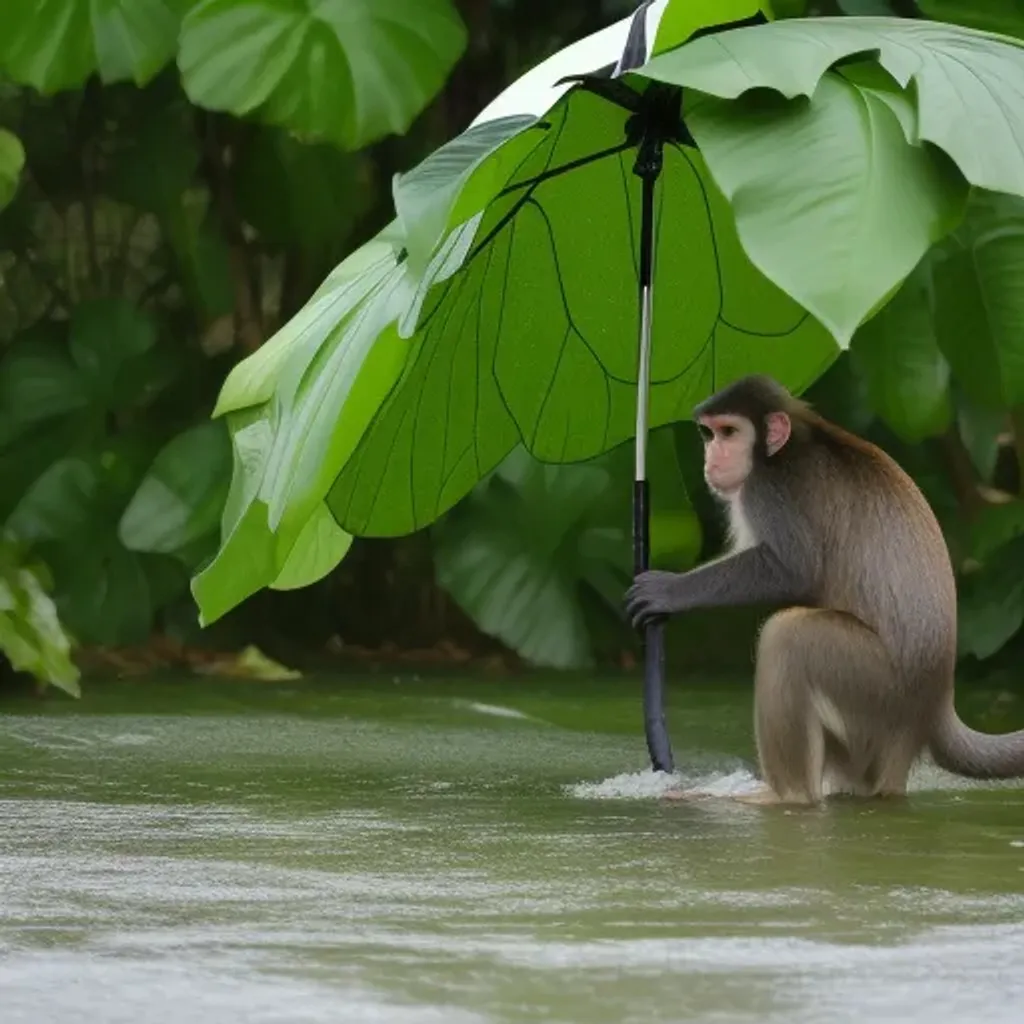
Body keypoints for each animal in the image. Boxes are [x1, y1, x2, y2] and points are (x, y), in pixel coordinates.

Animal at [622, 376, 1024, 806]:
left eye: (729, 432)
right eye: (709, 434)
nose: (712, 457)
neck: (780, 449)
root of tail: (934, 704)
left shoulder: (771, 488)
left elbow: (794, 570)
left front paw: (669, 590)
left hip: (876, 690)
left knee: (788, 635)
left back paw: (783, 796)